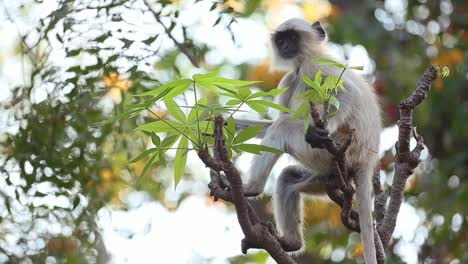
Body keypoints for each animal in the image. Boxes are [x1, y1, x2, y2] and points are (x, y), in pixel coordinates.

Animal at [238, 17, 380, 262]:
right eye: (281, 40)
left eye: (293, 37)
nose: (285, 46)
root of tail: (367, 161)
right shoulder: (289, 79)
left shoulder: (313, 66)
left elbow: (347, 92)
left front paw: (322, 130)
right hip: (326, 174)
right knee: (288, 178)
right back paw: (290, 243)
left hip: (331, 151)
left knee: (283, 128)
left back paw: (250, 189)